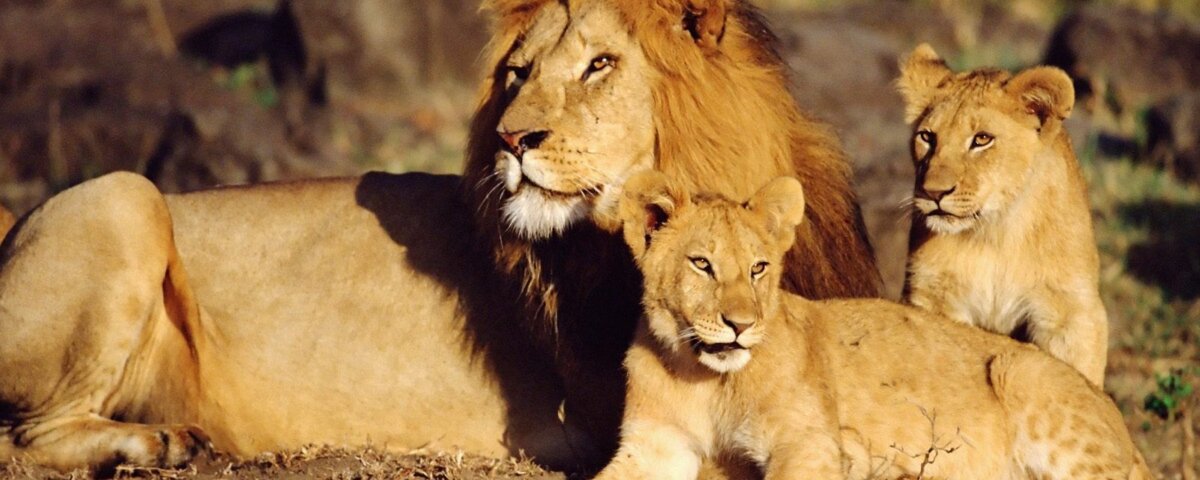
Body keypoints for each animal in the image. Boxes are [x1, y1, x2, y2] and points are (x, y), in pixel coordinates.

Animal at [0, 0, 879, 473]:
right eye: (519, 74)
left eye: (599, 65)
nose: (513, 139)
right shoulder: (626, 410)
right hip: (124, 194)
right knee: (27, 436)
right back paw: (158, 444)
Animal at [599, 171, 1151, 480]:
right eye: (702, 265)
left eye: (758, 268)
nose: (740, 325)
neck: (707, 380)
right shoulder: (657, 447)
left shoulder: (810, 444)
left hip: (1023, 373)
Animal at [897, 44, 1109, 386]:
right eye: (927, 137)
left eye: (982, 139)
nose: (933, 193)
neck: (995, 232)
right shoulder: (931, 295)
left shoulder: (1072, 310)